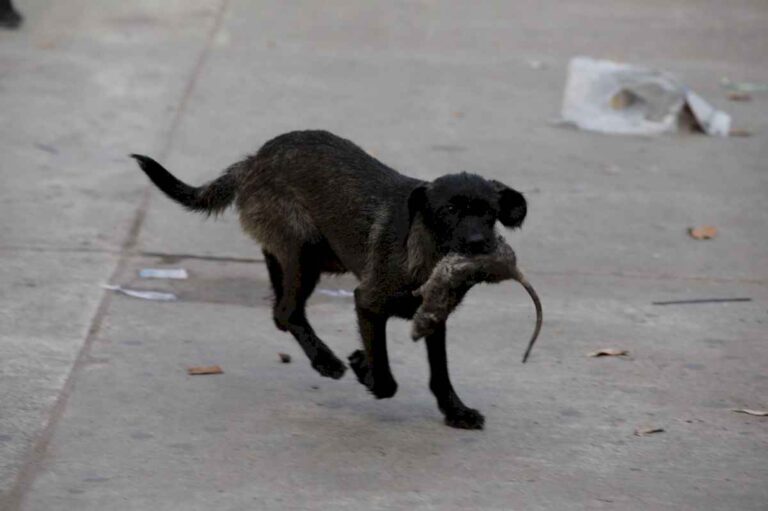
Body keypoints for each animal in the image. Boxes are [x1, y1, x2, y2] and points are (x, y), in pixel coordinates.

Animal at [134, 130, 528, 430]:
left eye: (489, 213)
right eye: (448, 211)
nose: (478, 243)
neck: (427, 253)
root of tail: (254, 159)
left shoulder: (434, 319)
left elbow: (440, 373)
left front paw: (455, 411)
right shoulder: (367, 303)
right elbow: (385, 377)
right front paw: (365, 370)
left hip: (315, 257)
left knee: (280, 307)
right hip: (304, 253)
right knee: (287, 313)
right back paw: (326, 360)